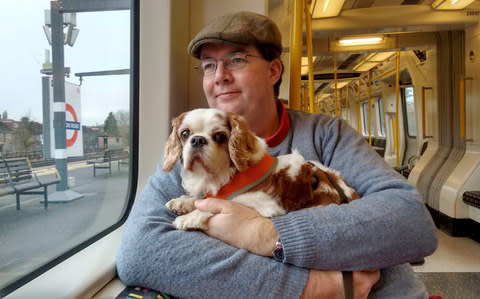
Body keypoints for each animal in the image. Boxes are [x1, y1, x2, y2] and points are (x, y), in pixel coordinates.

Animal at [163, 109, 358, 231]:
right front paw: (183, 202)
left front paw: (189, 217)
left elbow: (226, 200)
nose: (197, 139)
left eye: (220, 136)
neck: (221, 174)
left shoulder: (266, 205)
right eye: (185, 134)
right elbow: (203, 198)